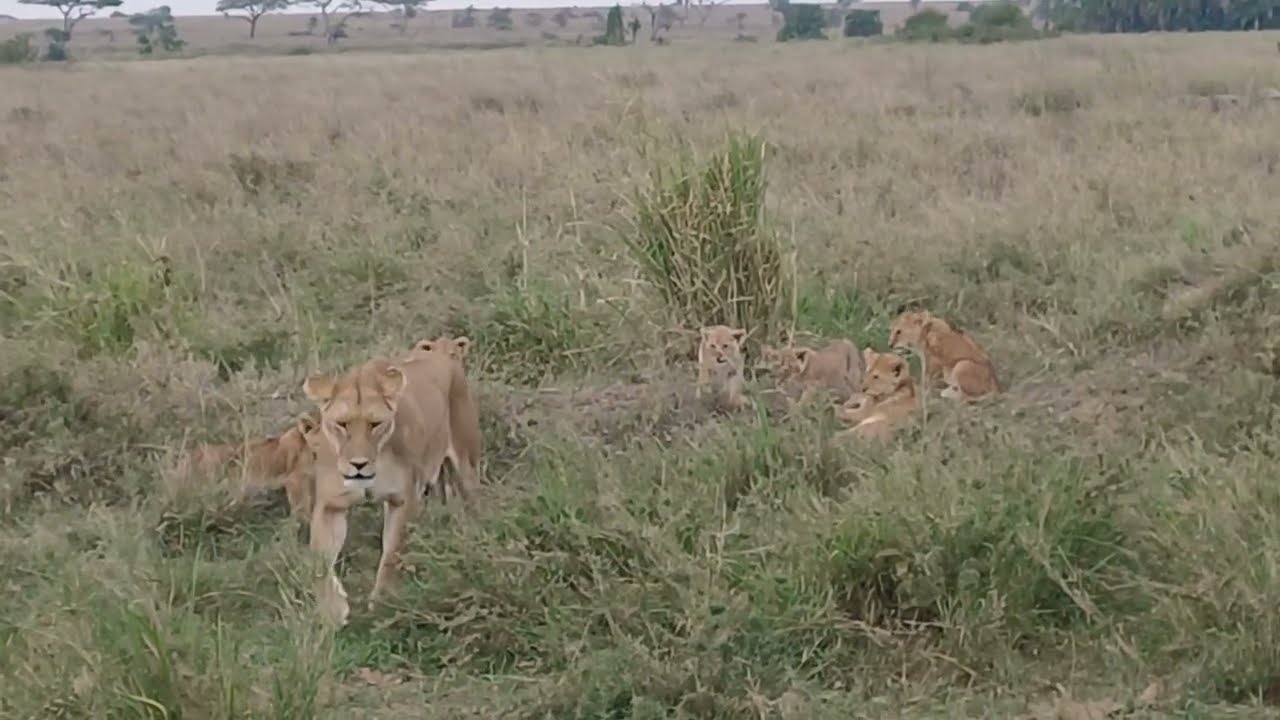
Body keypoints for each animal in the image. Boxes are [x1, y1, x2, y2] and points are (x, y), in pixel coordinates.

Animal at [302, 349, 482, 626]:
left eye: (375, 424)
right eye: (342, 424)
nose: (358, 465)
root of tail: (442, 354)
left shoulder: (403, 499)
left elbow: (391, 554)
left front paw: (381, 603)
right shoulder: (330, 506)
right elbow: (318, 563)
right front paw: (334, 610)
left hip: (466, 462)